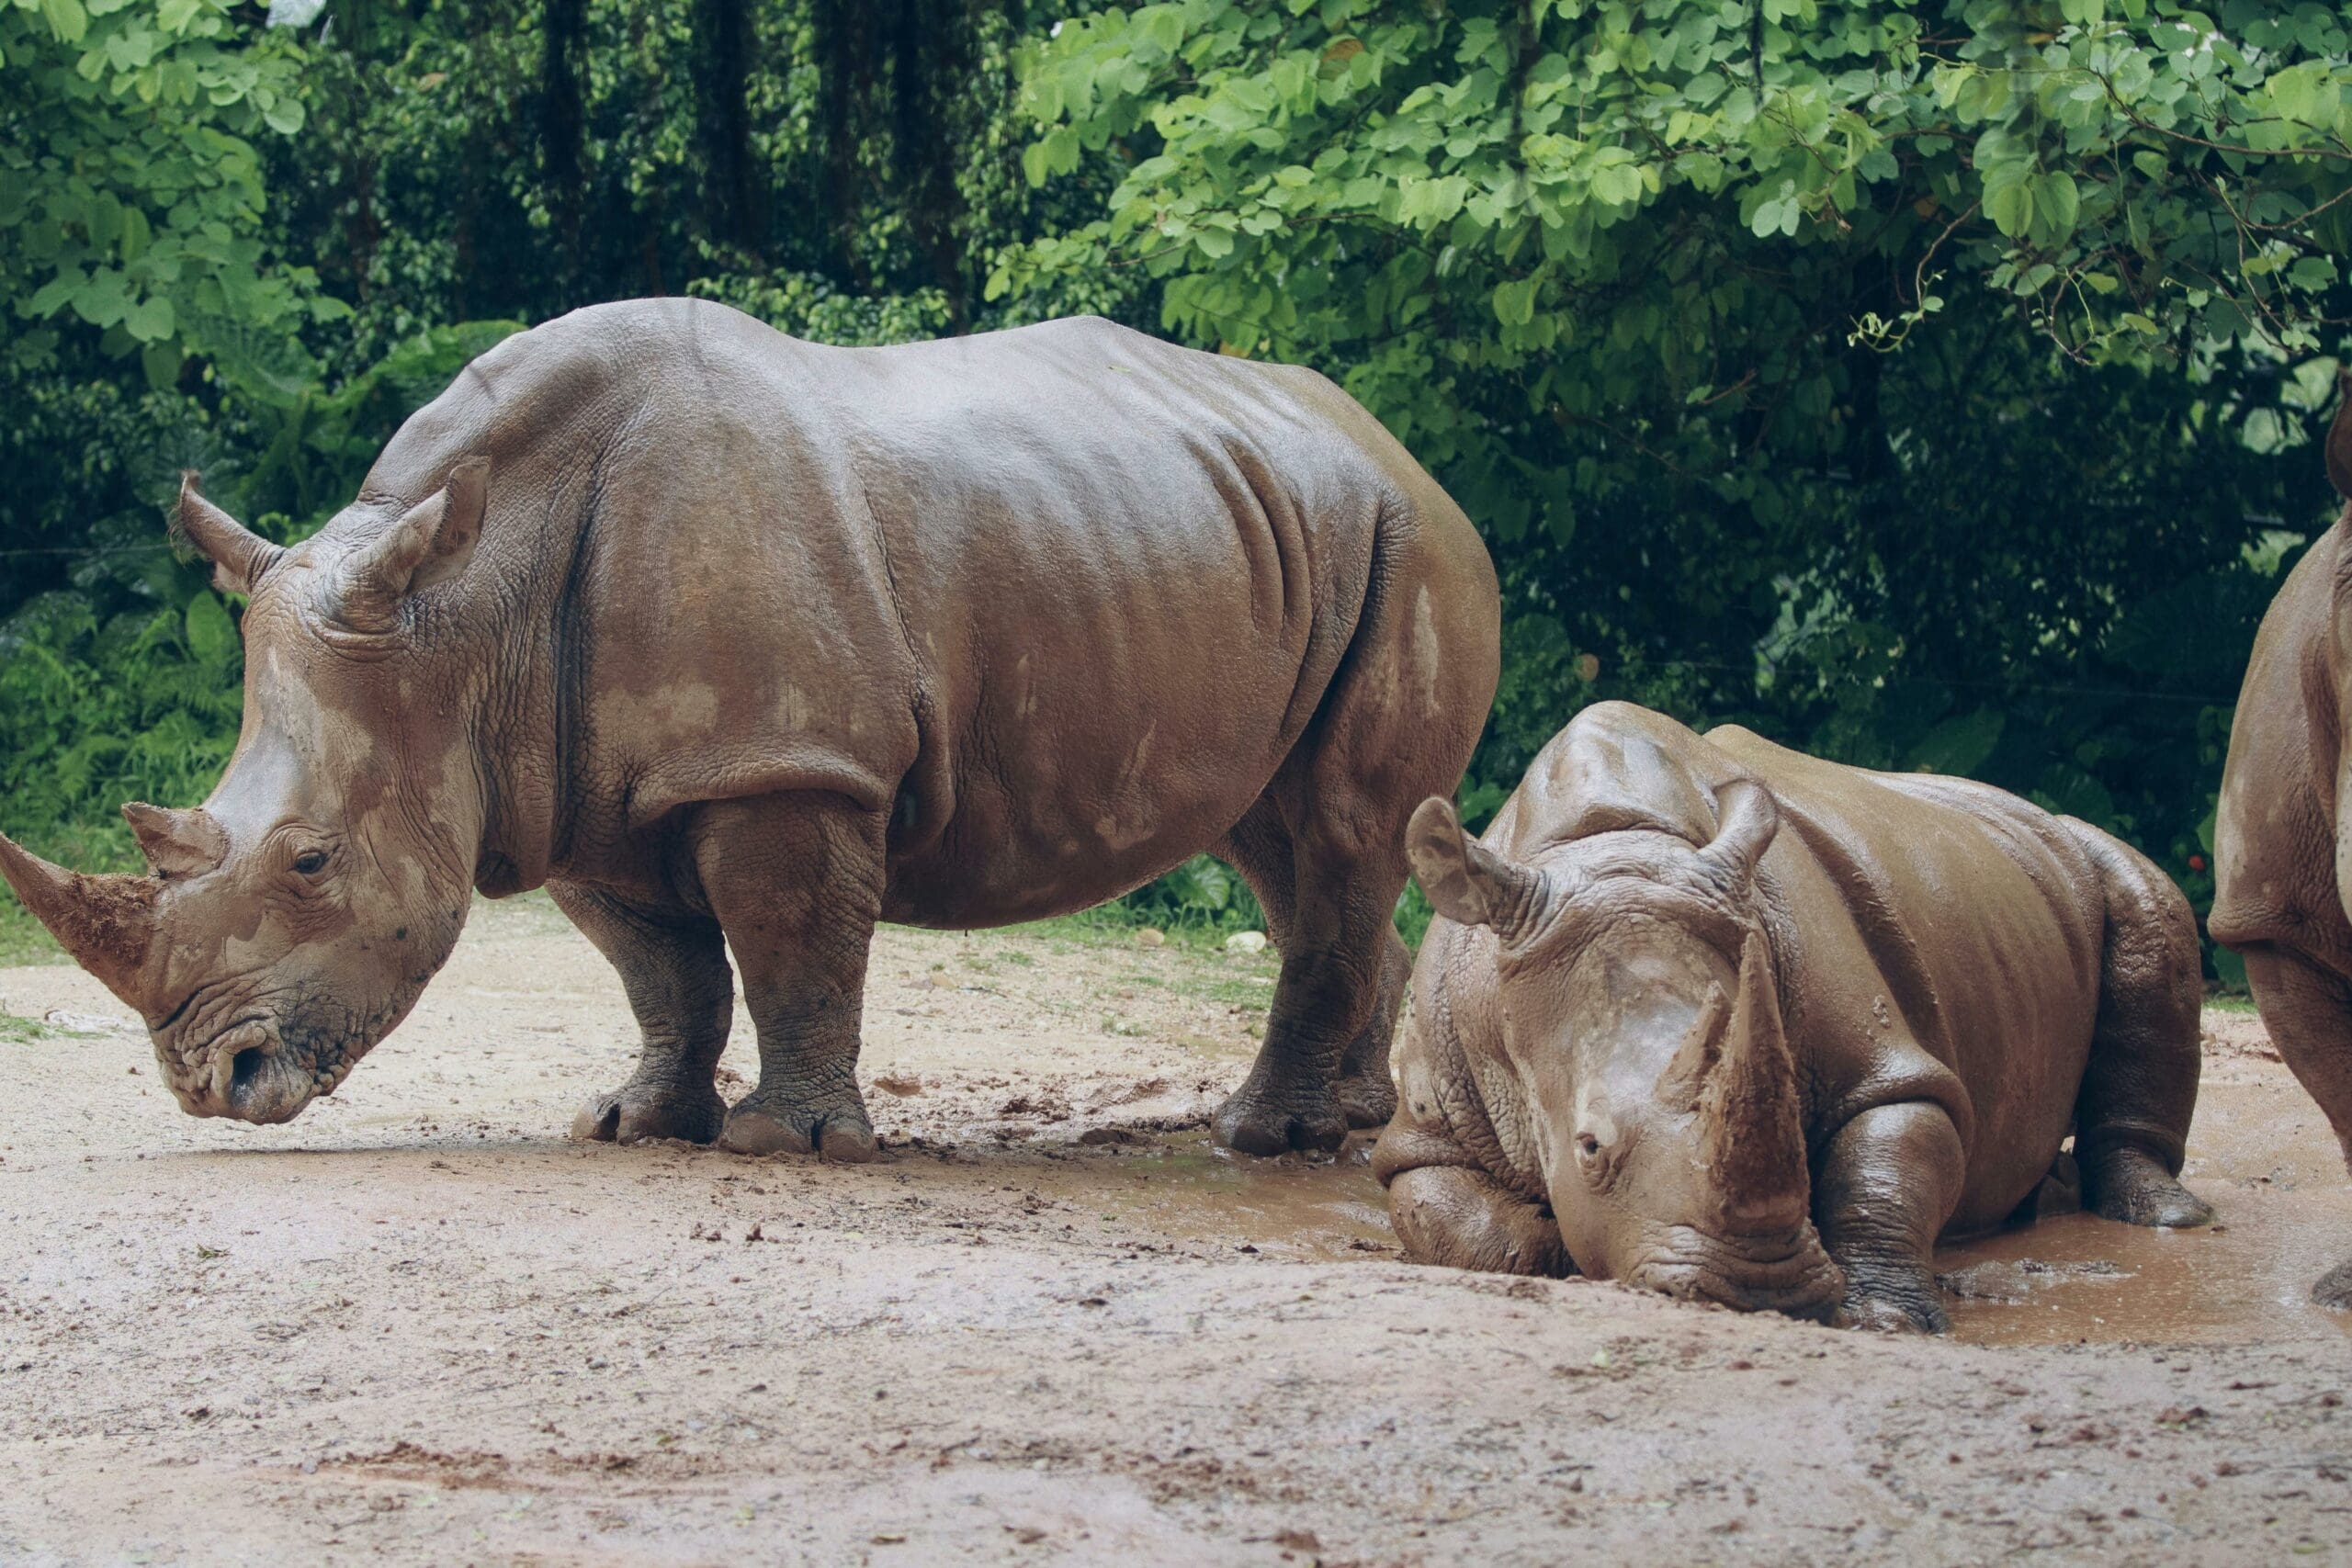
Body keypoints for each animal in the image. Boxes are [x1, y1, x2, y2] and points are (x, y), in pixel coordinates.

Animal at [0, 300, 1499, 1158]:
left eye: (311, 863)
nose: (208, 1081)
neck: (463, 616)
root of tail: (1407, 451)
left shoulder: (785, 763)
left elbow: (787, 943)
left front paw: (793, 1145)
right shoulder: (576, 781)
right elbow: (659, 969)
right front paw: (631, 1125)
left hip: (1411, 547)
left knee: (1342, 829)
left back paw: (1266, 1141)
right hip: (1253, 533)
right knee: (1282, 835)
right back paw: (1358, 1122)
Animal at [1375, 702, 2212, 1329]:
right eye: (1588, 1147)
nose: (1760, 1293)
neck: (1611, 848)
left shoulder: (1890, 1068)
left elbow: (1891, 1152)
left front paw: (1886, 1317)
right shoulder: (1428, 1116)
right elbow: (1459, 1218)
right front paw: (1563, 1250)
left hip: (2083, 848)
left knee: (2145, 897)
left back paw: (2168, 1219)